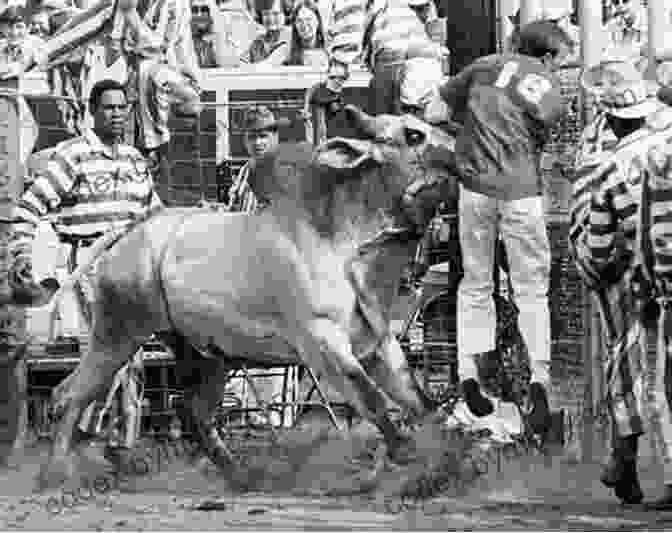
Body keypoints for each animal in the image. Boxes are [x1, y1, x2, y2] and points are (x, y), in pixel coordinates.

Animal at [36, 106, 456, 488]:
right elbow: (370, 396)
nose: (457, 151)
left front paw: (442, 456)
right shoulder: (321, 344)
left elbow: (417, 398)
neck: (341, 239)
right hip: (117, 331)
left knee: (193, 411)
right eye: (413, 135)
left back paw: (240, 474)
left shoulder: (378, 340)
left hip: (202, 353)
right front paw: (406, 450)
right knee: (69, 395)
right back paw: (56, 473)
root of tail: (126, 232)